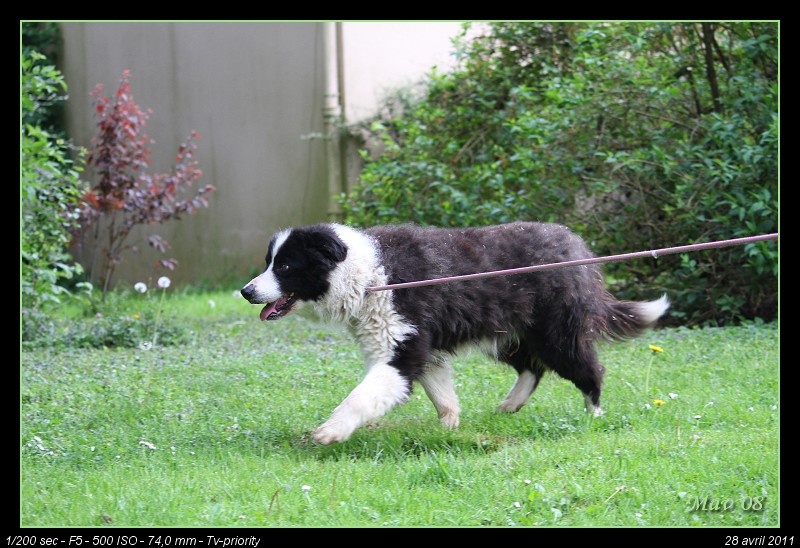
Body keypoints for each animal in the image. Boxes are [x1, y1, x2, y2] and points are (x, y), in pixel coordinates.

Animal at [239, 223, 668, 446]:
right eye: (269, 262)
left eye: (286, 266)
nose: (245, 291)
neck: (367, 275)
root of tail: (576, 244)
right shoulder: (421, 348)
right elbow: (443, 395)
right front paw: (449, 428)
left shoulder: (402, 348)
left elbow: (361, 396)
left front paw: (331, 431)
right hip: (509, 332)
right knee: (532, 368)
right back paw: (509, 406)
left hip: (554, 332)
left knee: (588, 370)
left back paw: (593, 416)